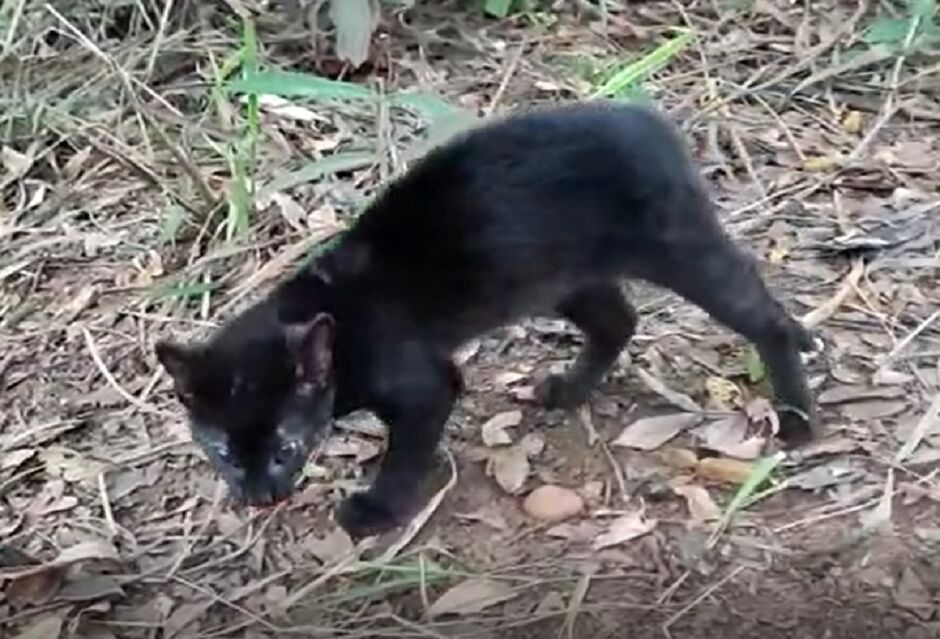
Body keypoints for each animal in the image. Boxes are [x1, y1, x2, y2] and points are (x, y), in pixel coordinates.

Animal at [158, 101, 820, 540]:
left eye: (284, 448)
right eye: (221, 451)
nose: (257, 496)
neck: (337, 324)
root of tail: (645, 117)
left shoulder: (427, 386)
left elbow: (405, 455)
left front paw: (377, 510)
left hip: (673, 247)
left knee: (758, 311)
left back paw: (798, 415)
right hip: (560, 277)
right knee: (619, 319)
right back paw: (567, 390)